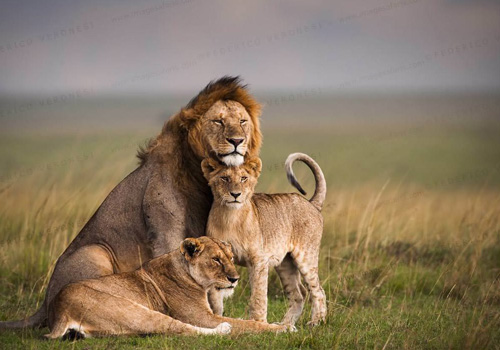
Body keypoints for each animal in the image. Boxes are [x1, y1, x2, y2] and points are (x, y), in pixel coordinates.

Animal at [0, 77, 264, 330]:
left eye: (242, 121)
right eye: (218, 122)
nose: (237, 141)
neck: (198, 173)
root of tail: (45, 303)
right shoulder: (166, 232)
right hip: (95, 252)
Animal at [47, 237, 292, 338]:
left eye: (231, 258)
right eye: (216, 260)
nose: (235, 279)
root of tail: (59, 310)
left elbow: (245, 320)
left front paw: (275, 323)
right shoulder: (201, 317)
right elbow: (247, 324)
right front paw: (283, 328)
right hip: (132, 310)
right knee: (178, 328)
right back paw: (223, 329)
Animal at [202, 153, 328, 326]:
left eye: (243, 178)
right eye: (224, 178)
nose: (235, 194)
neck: (230, 217)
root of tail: (311, 203)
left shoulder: (258, 260)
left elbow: (258, 296)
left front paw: (258, 323)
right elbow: (215, 298)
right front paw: (216, 319)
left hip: (306, 257)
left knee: (318, 290)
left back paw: (316, 322)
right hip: (285, 264)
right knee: (298, 294)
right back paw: (285, 325)